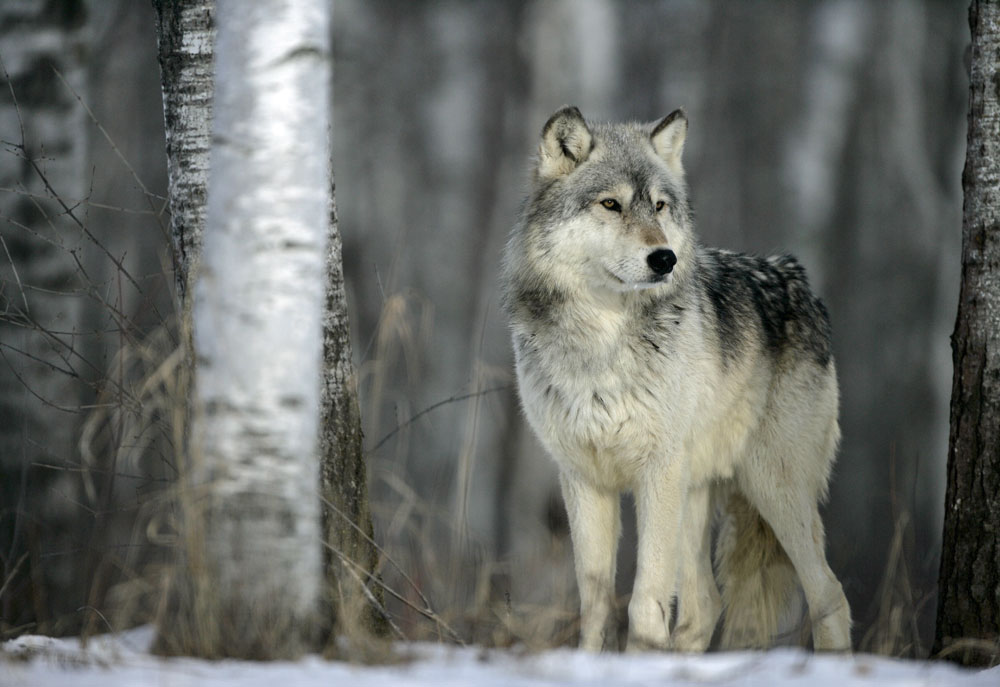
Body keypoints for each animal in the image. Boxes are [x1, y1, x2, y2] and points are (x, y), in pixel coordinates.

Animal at [500, 105, 852, 652]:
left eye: (661, 207)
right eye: (611, 204)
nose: (664, 258)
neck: (602, 341)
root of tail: (800, 280)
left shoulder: (656, 471)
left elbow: (645, 600)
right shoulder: (583, 478)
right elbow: (595, 602)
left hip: (771, 486)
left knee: (830, 593)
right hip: (696, 491)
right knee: (705, 604)